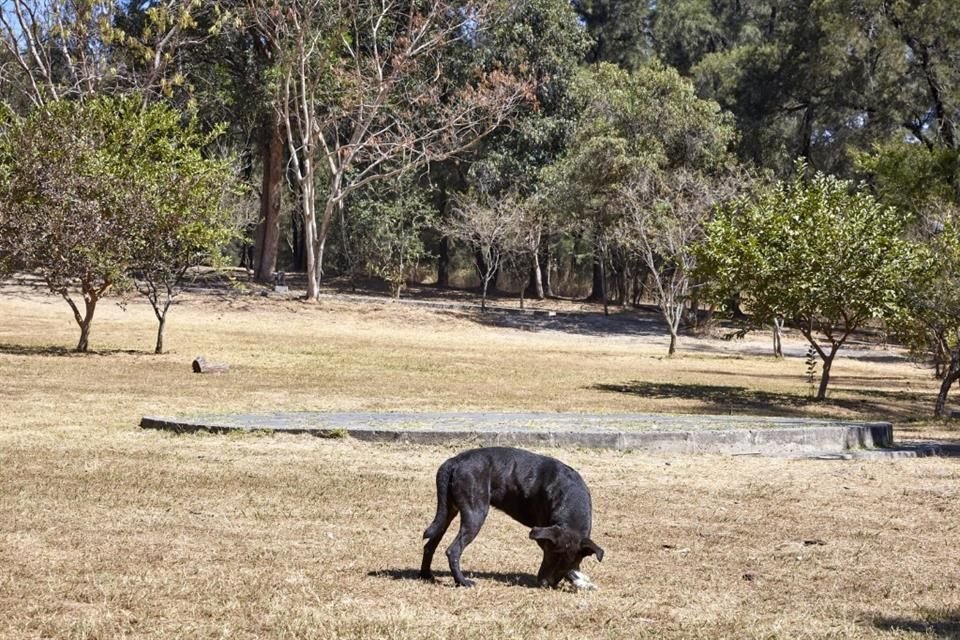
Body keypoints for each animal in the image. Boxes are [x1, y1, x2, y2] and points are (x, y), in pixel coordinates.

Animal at [418, 444, 600, 592]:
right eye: (550, 556)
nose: (544, 584)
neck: (571, 499)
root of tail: (454, 461)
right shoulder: (544, 537)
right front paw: (579, 580)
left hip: (447, 513)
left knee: (429, 545)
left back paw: (426, 575)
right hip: (475, 513)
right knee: (453, 550)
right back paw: (462, 582)